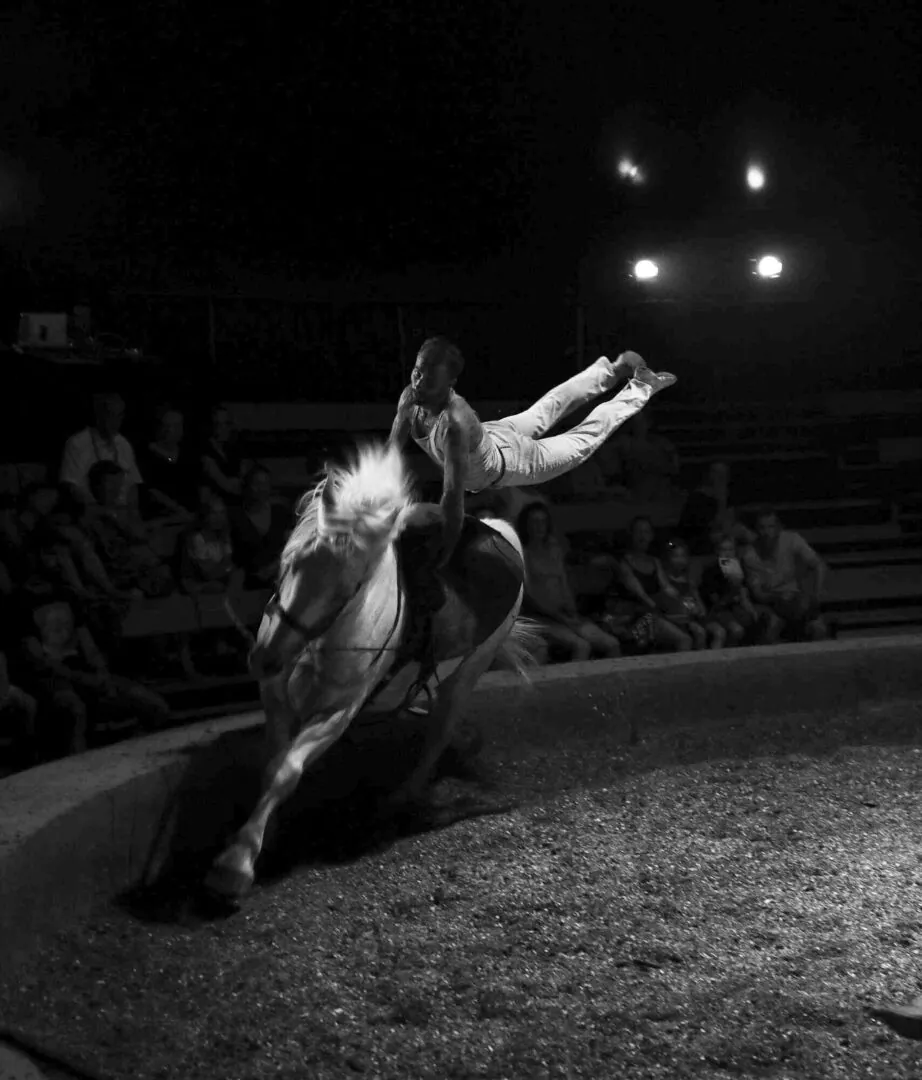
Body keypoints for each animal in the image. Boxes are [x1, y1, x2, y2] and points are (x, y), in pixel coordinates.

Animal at [206, 440, 537, 902]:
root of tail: (501, 532)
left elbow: (287, 770)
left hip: (467, 674)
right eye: (290, 562)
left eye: (348, 588)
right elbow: (273, 765)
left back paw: (400, 799)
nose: (266, 658)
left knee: (438, 734)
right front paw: (261, 837)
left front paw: (234, 865)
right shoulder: (276, 700)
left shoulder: (336, 712)